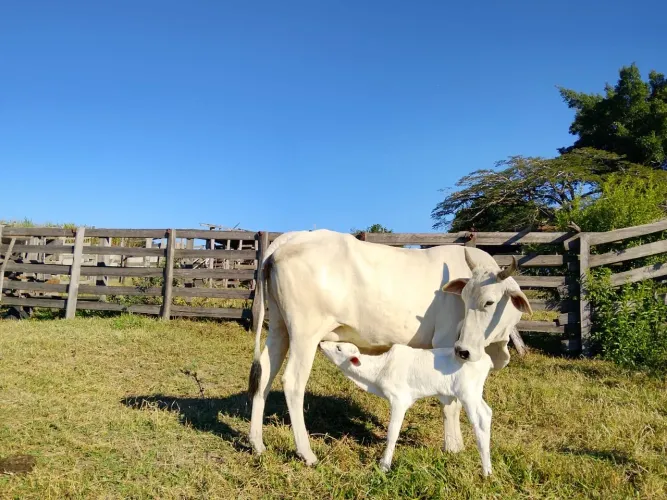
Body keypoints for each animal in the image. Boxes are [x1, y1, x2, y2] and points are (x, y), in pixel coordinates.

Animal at [247, 229, 531, 466]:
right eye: (463, 298)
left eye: (489, 302)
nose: (464, 350)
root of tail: (293, 237)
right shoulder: (446, 344)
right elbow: (450, 402)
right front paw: (454, 447)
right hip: (305, 333)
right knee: (293, 382)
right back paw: (306, 453)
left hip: (280, 329)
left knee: (264, 375)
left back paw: (257, 443)